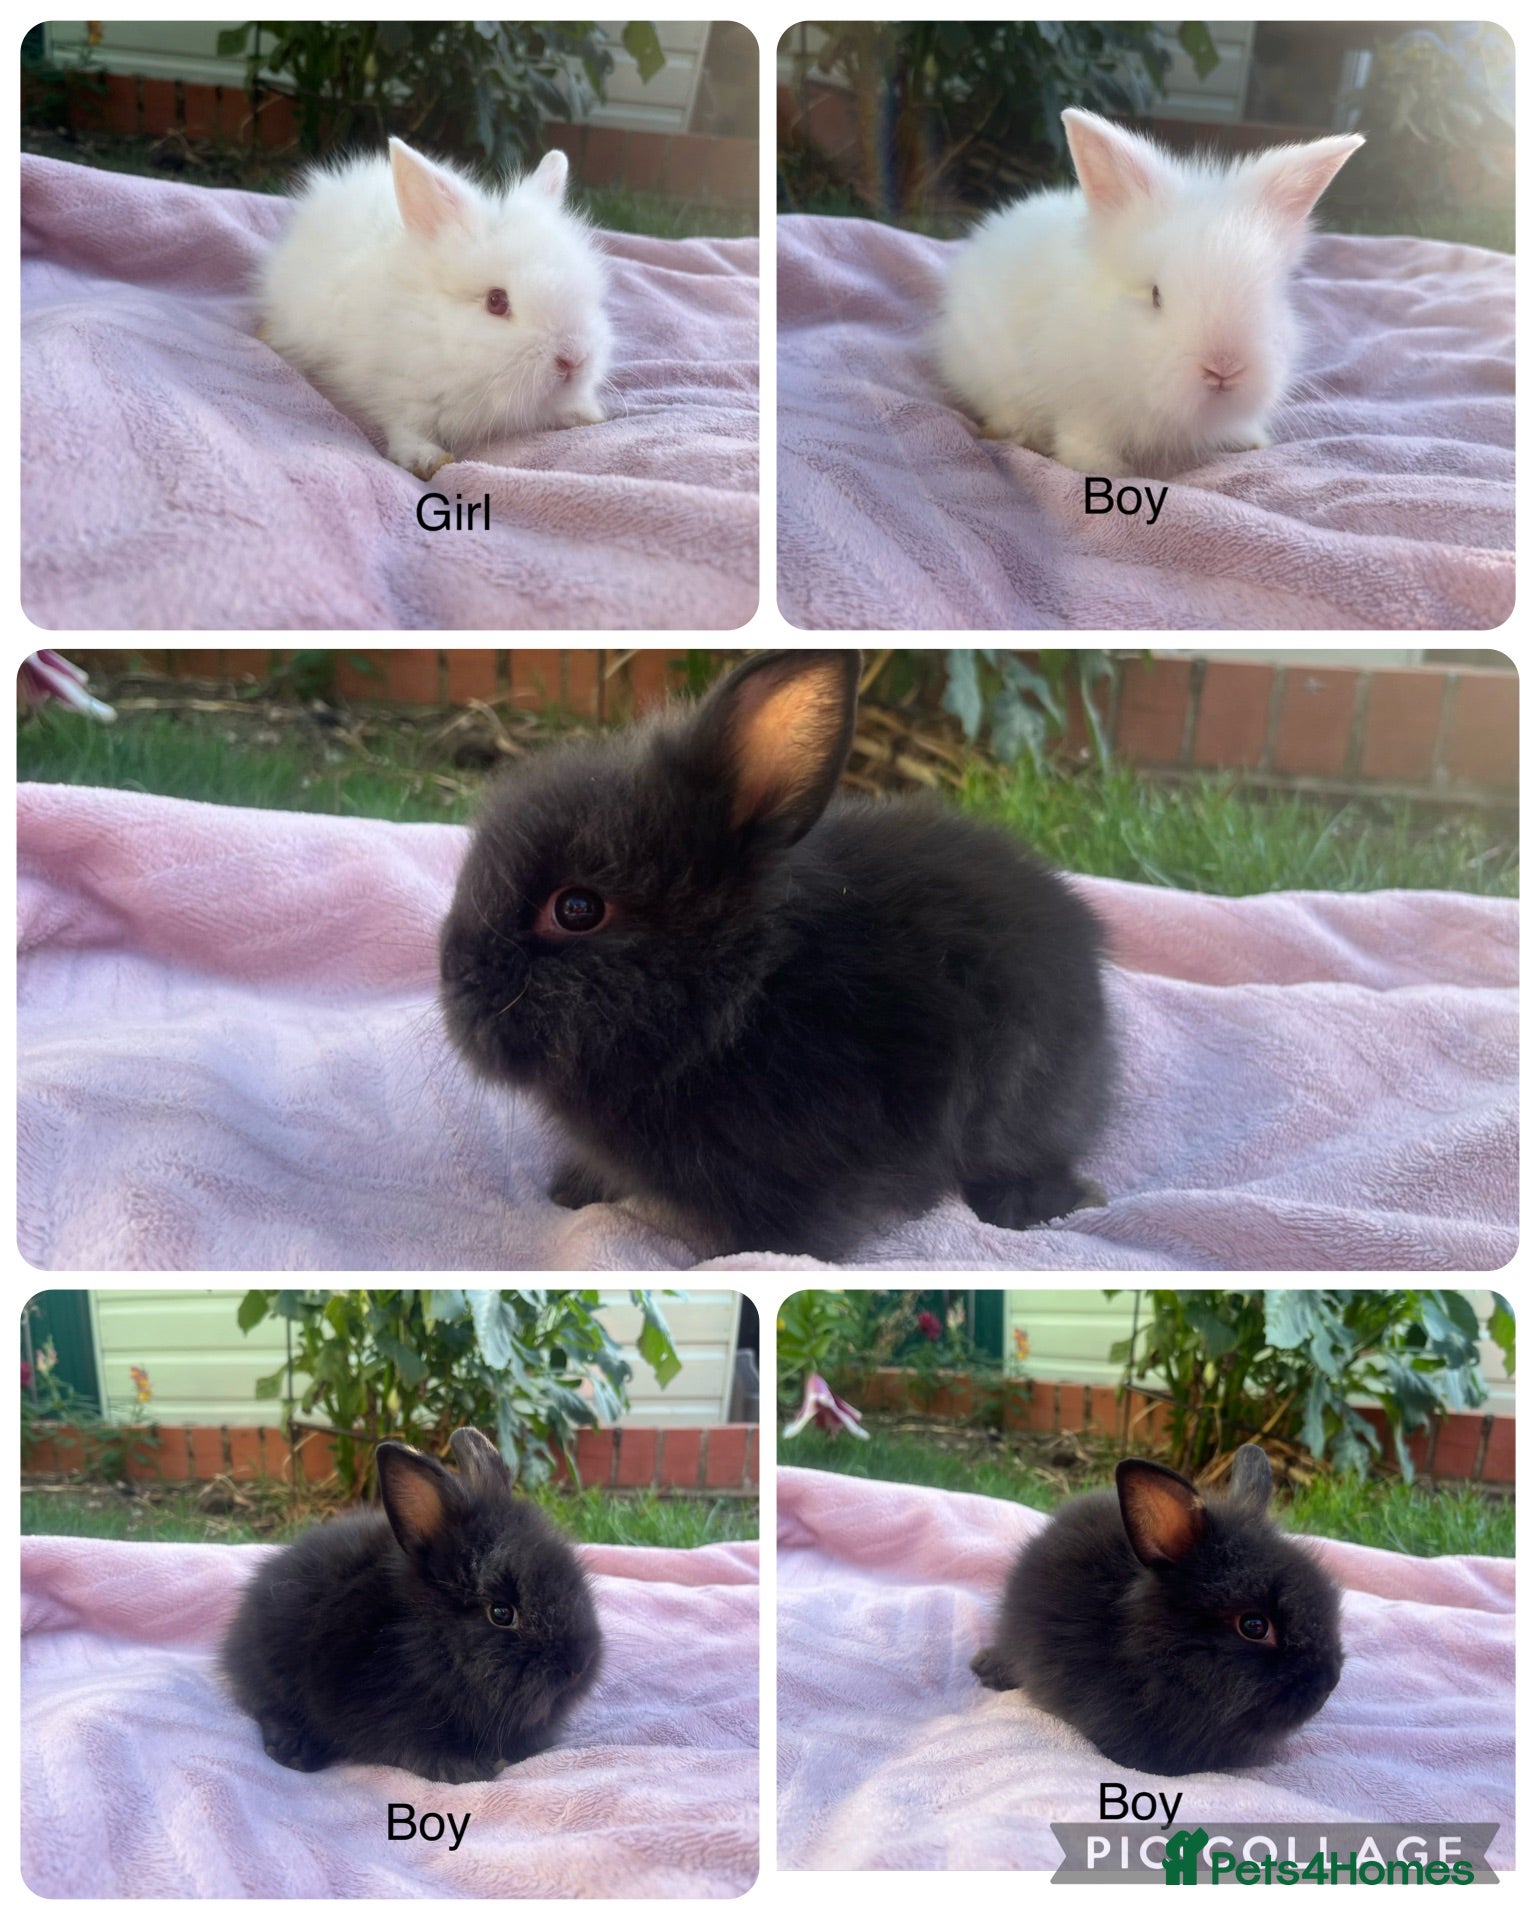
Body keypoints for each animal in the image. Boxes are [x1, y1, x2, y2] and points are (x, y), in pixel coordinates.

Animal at [259, 137, 611, 479]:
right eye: (496, 301)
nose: (574, 359)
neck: (435, 331)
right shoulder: (396, 389)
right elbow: (406, 426)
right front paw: (426, 460)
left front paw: (587, 414)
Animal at [935, 107, 1364, 476]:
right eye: (1156, 294)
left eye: (1271, 294)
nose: (1223, 368)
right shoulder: (1081, 403)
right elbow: (1083, 439)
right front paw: (1105, 469)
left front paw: (1250, 441)